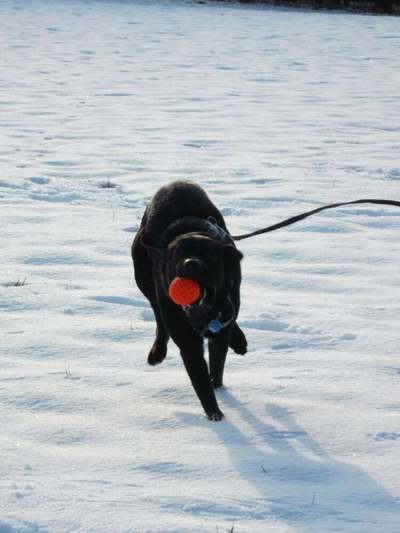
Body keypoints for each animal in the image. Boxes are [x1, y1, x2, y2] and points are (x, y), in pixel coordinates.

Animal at [131, 182, 247, 420]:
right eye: (178, 255)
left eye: (209, 256)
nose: (190, 263)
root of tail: (175, 183)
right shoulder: (188, 342)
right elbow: (201, 381)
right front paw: (215, 416)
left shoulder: (221, 327)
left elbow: (217, 366)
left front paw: (218, 393)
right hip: (144, 279)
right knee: (159, 318)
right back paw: (157, 353)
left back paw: (239, 341)